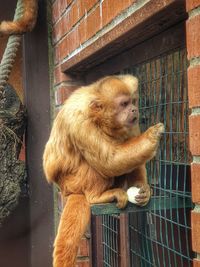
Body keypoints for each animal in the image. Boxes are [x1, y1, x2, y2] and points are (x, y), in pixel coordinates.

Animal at [42, 75, 164, 267]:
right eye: (123, 104)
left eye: (132, 102)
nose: (134, 109)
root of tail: (65, 188)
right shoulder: (81, 123)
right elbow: (108, 161)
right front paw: (152, 135)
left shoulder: (130, 123)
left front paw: (142, 188)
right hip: (74, 181)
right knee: (94, 165)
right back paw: (96, 197)